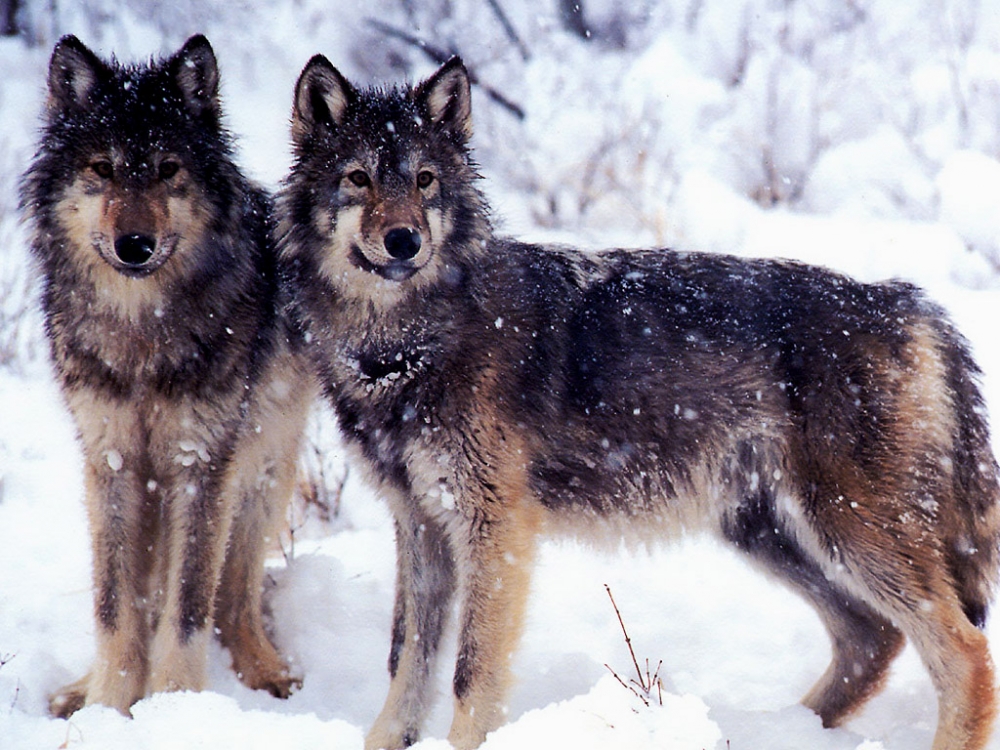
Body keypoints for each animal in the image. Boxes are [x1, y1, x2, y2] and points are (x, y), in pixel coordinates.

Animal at [21, 38, 316, 720]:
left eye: (166, 169)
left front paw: (175, 708)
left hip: (260, 476)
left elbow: (187, 608)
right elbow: (115, 607)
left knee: (233, 600)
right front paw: (108, 706)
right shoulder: (110, 461)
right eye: (103, 169)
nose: (135, 244)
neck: (141, 337)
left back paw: (267, 672)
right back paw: (78, 690)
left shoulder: (201, 464)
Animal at [278, 54, 1000, 750]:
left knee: (963, 653)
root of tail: (909, 302)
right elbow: (406, 660)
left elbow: (469, 669)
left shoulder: (496, 527)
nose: (404, 240)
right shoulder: (419, 522)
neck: (406, 346)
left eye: (425, 180)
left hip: (847, 532)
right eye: (359, 178)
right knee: (872, 640)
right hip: (769, 533)